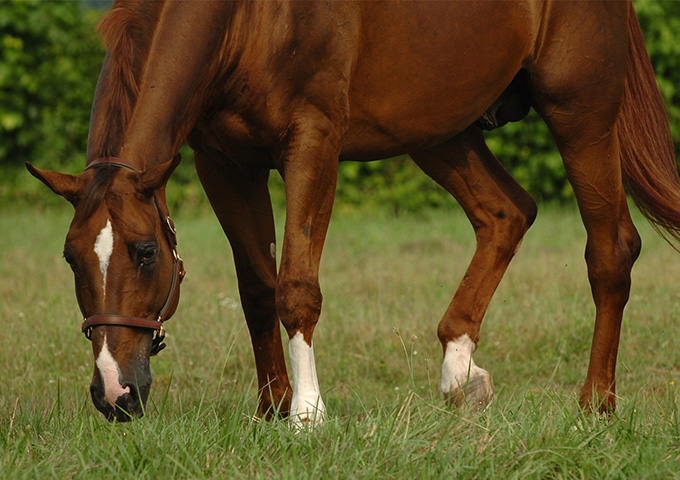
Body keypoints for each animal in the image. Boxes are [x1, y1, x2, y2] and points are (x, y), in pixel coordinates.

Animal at [26, 0, 679, 424]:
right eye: (70, 259)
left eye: (144, 253)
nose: (114, 393)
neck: (246, 17)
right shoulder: (225, 162)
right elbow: (257, 288)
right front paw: (272, 407)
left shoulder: (313, 141)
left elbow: (296, 286)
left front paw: (307, 415)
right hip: (438, 129)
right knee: (506, 214)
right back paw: (460, 374)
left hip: (580, 110)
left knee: (610, 250)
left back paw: (595, 405)